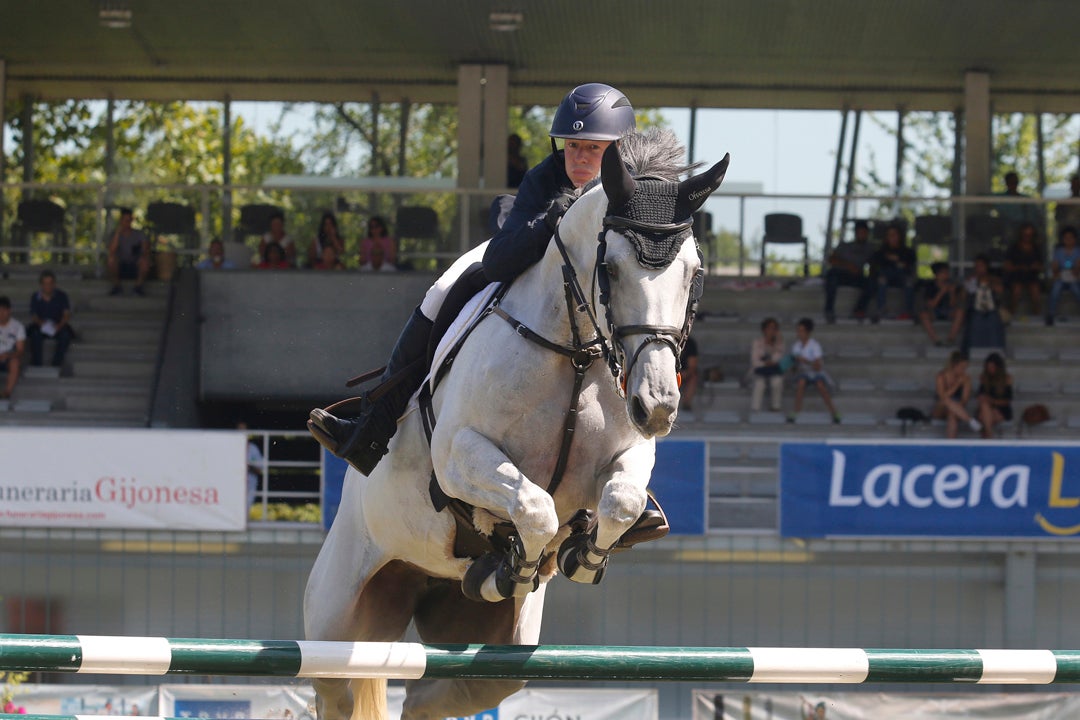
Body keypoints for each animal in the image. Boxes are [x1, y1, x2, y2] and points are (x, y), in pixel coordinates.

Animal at [302, 131, 725, 720]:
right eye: (612, 269)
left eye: (693, 273)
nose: (656, 406)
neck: (575, 353)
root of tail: (421, 578)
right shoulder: (459, 459)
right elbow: (533, 506)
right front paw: (517, 564)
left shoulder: (630, 455)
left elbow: (620, 501)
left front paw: (580, 555)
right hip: (338, 626)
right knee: (336, 685)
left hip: (489, 655)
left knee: (432, 696)